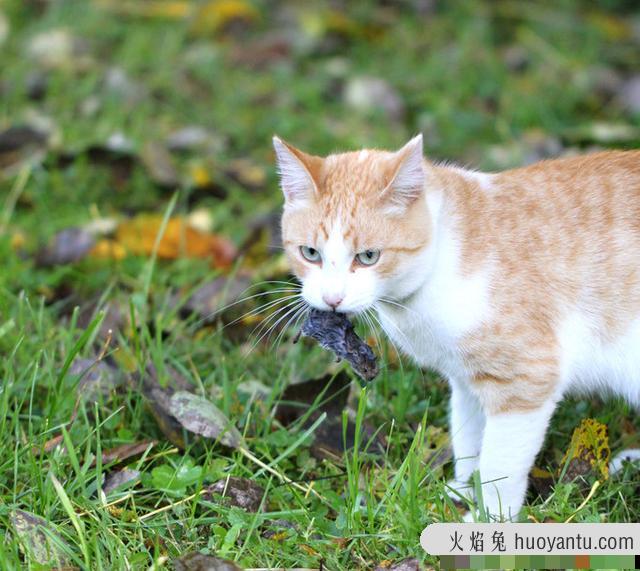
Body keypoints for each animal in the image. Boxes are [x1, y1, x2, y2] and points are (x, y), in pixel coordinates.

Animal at [272, 134, 640, 524]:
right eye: (310, 253)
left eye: (368, 257)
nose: (332, 299)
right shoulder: (465, 380)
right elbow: (469, 438)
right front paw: (463, 490)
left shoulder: (526, 379)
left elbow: (499, 463)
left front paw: (490, 517)